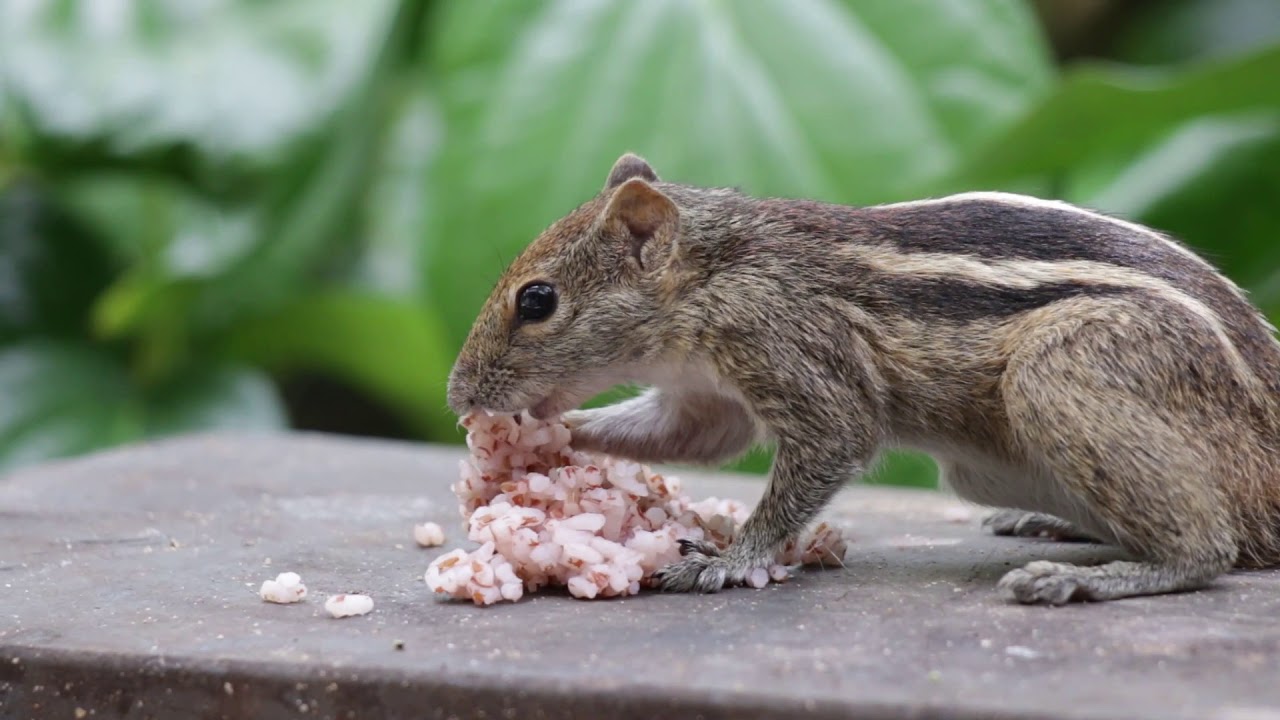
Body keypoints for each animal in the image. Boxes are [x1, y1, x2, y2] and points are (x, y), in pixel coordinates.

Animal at [446, 152, 1280, 605]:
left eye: (537, 300)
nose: (458, 397)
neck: (718, 271)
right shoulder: (706, 397)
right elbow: (694, 435)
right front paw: (544, 442)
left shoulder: (792, 351)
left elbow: (830, 440)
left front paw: (730, 560)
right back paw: (1059, 527)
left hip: (1061, 373)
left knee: (1212, 551)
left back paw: (1090, 578)